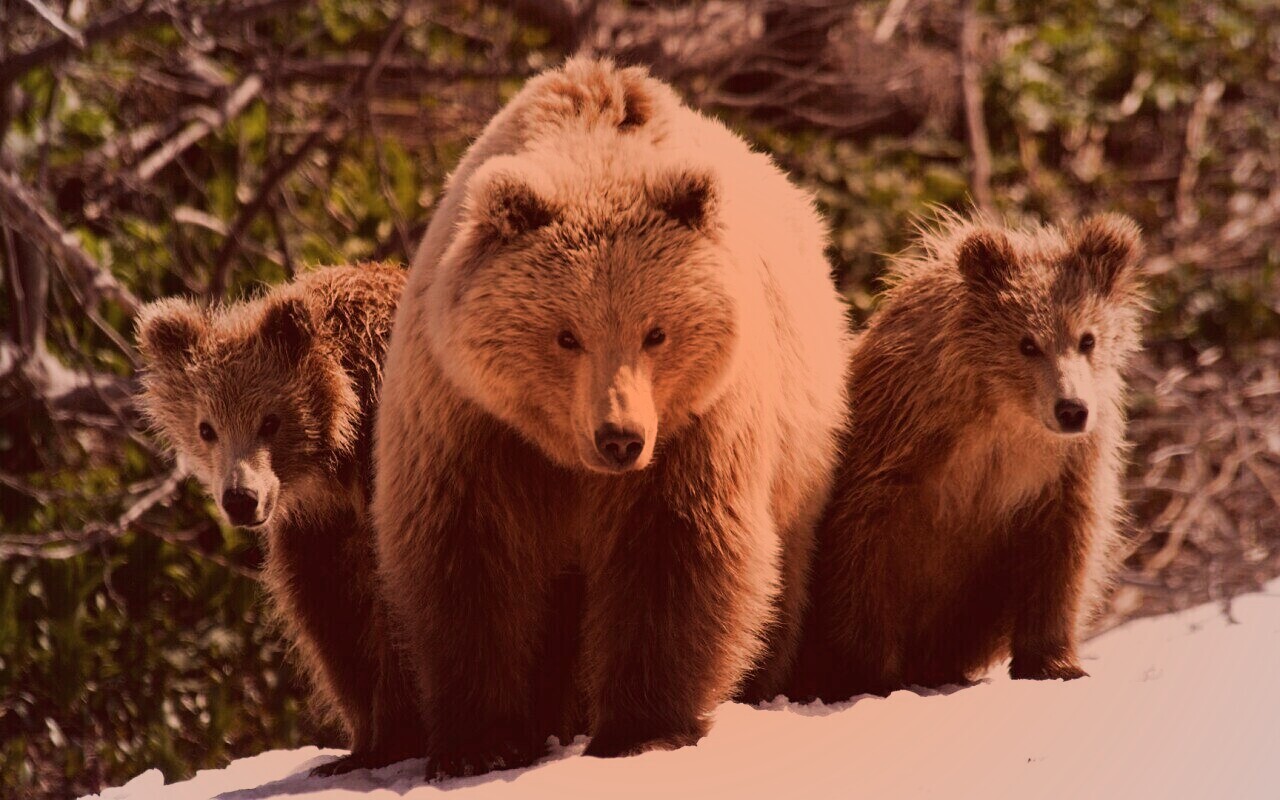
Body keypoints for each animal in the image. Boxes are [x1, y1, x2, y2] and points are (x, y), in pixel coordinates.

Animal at [135, 262, 424, 773]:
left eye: (270, 420)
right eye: (207, 428)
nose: (240, 498)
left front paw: (397, 738)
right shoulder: (318, 529)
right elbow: (331, 617)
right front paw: (360, 744)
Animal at [373, 54, 849, 773]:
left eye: (656, 331)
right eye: (566, 335)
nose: (619, 437)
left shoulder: (696, 425)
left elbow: (676, 549)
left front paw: (642, 728)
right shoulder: (471, 422)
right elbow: (469, 558)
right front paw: (481, 742)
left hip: (799, 453)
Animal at [793, 211, 1146, 696]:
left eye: (1087, 338)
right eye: (1027, 343)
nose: (1072, 409)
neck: (1003, 414)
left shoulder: (1063, 469)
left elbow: (1063, 552)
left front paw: (1056, 663)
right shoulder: (900, 444)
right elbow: (864, 548)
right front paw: (866, 672)